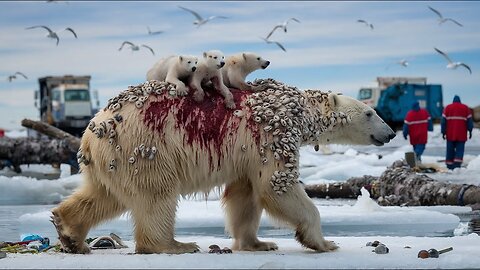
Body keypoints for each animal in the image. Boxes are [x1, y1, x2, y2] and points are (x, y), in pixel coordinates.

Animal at [50, 78, 396, 255]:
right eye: (369, 113)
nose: (390, 133)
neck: (296, 109)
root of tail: (90, 131)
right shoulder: (271, 134)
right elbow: (276, 185)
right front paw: (324, 242)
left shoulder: (247, 153)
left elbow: (245, 194)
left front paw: (259, 243)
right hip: (144, 146)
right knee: (156, 195)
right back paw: (175, 245)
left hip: (111, 157)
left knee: (103, 195)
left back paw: (70, 232)